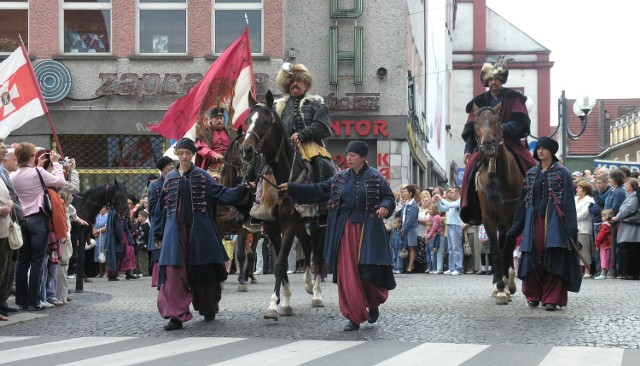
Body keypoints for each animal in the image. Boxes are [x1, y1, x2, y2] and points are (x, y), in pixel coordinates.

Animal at [238, 90, 324, 318]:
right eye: (248, 121)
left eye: (266, 122)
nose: (246, 150)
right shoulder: (272, 227)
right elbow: (282, 263)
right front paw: (284, 302)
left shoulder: (289, 224)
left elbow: (278, 264)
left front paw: (272, 305)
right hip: (302, 224)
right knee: (307, 244)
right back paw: (308, 284)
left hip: (320, 223)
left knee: (318, 254)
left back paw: (317, 294)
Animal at [472, 103, 524, 306]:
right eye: (476, 122)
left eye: (497, 120)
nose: (487, 144)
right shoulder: (489, 219)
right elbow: (495, 252)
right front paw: (500, 289)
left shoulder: (511, 220)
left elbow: (507, 250)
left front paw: (508, 285)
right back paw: (497, 283)